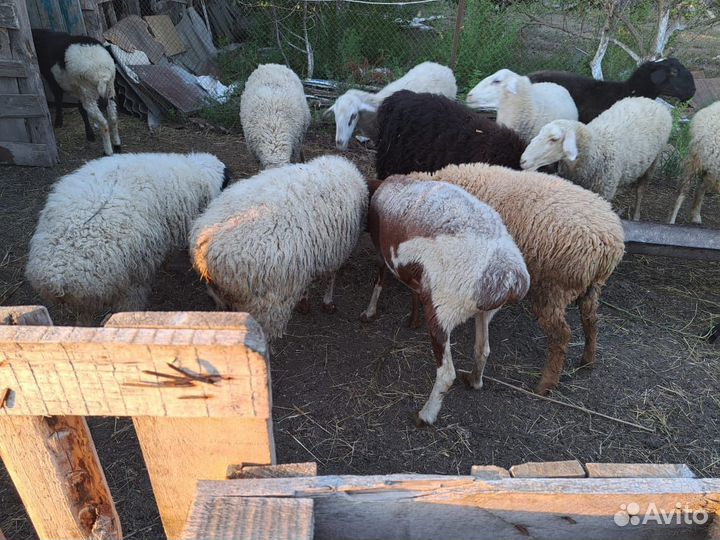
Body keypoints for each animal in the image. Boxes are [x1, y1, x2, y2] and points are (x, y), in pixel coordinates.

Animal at [190, 155, 368, 340]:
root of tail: (205, 248)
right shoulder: (338, 250)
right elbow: (332, 276)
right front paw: (327, 303)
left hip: (221, 297)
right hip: (267, 304)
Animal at [360, 176, 529, 425]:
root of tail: (507, 276)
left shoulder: (382, 251)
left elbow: (378, 280)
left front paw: (369, 311)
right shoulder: (418, 274)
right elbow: (412, 289)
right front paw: (413, 318)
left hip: (443, 310)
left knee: (447, 374)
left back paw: (426, 415)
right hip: (483, 312)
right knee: (483, 349)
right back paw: (474, 380)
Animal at [401, 163, 625, 396]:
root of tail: (607, 243)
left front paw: (415, 318)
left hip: (553, 288)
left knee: (561, 336)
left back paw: (545, 384)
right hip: (591, 287)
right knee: (591, 320)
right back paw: (588, 360)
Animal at [520, 97, 672, 221]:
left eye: (554, 139)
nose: (523, 160)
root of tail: (651, 101)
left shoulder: (604, 191)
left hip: (654, 161)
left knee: (640, 190)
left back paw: (636, 215)